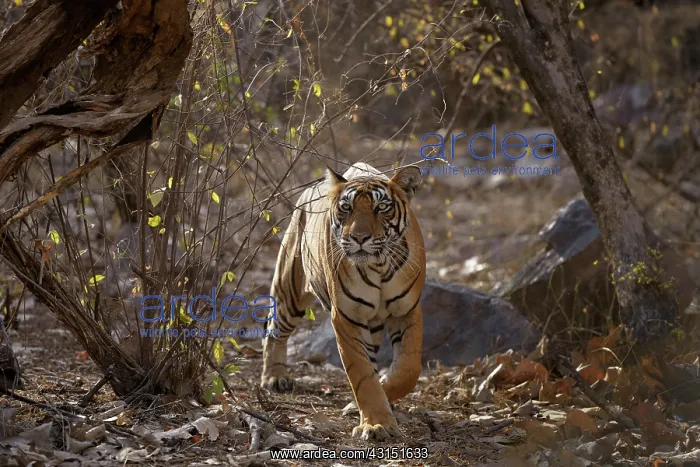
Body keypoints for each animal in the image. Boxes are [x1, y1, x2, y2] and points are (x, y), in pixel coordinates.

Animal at [260, 162, 426, 441]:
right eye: (346, 208)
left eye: (382, 207)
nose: (359, 237)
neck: (379, 265)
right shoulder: (348, 318)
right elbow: (362, 376)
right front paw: (377, 424)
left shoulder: (407, 311)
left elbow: (408, 370)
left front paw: (377, 401)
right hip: (290, 288)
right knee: (274, 331)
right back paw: (274, 378)